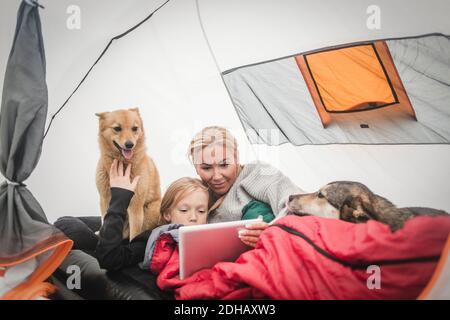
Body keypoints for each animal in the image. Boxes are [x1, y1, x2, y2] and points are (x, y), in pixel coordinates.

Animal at [95, 109, 162, 239]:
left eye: (134, 128)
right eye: (117, 128)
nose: (129, 144)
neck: (123, 163)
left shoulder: (135, 206)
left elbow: (134, 234)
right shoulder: (104, 200)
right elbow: (105, 222)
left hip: (151, 209)